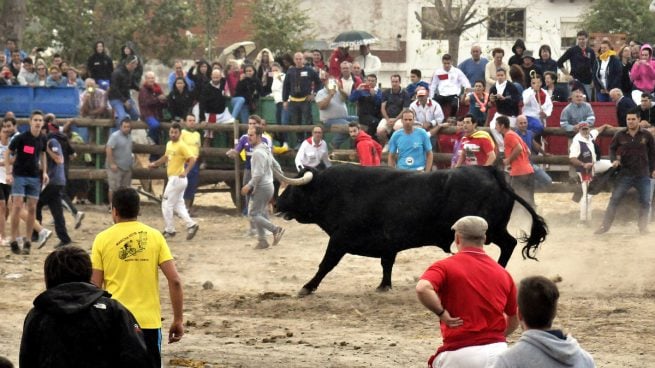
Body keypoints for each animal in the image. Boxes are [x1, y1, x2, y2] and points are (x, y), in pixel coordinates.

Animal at [276, 164, 548, 296]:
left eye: (294, 189)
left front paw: (307, 287)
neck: (335, 191)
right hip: (495, 228)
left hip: (488, 230)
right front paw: (384, 286)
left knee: (508, 244)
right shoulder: (388, 243)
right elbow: (387, 264)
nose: (276, 204)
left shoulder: (339, 239)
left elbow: (326, 264)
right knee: (510, 243)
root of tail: (489, 171)